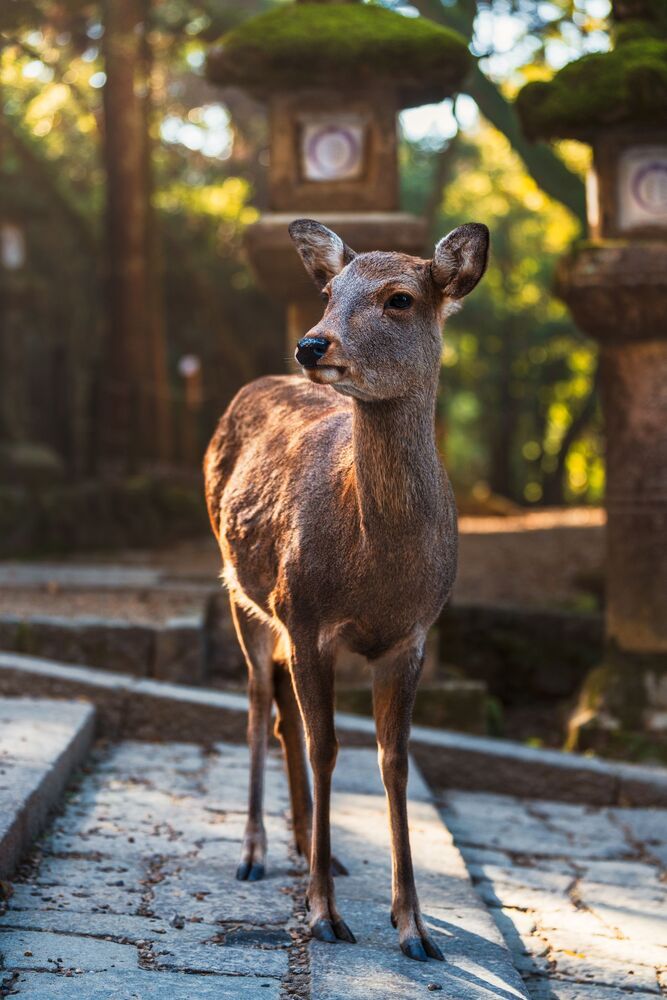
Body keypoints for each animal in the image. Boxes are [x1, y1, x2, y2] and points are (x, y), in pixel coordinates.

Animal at [204, 218, 489, 962]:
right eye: (330, 293)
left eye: (400, 299)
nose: (311, 343)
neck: (375, 576)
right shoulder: (305, 617)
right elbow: (326, 746)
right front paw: (326, 917)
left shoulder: (412, 636)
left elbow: (394, 762)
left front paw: (413, 926)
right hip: (241, 591)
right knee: (258, 706)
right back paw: (255, 852)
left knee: (280, 713)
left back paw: (317, 851)